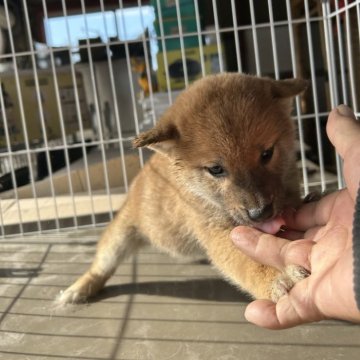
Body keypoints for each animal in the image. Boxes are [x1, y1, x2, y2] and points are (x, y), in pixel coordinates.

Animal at [57, 72, 308, 304]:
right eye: (216, 169)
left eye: (267, 154)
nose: (260, 213)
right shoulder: (216, 232)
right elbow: (246, 262)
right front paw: (276, 277)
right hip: (120, 235)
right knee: (102, 265)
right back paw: (80, 288)